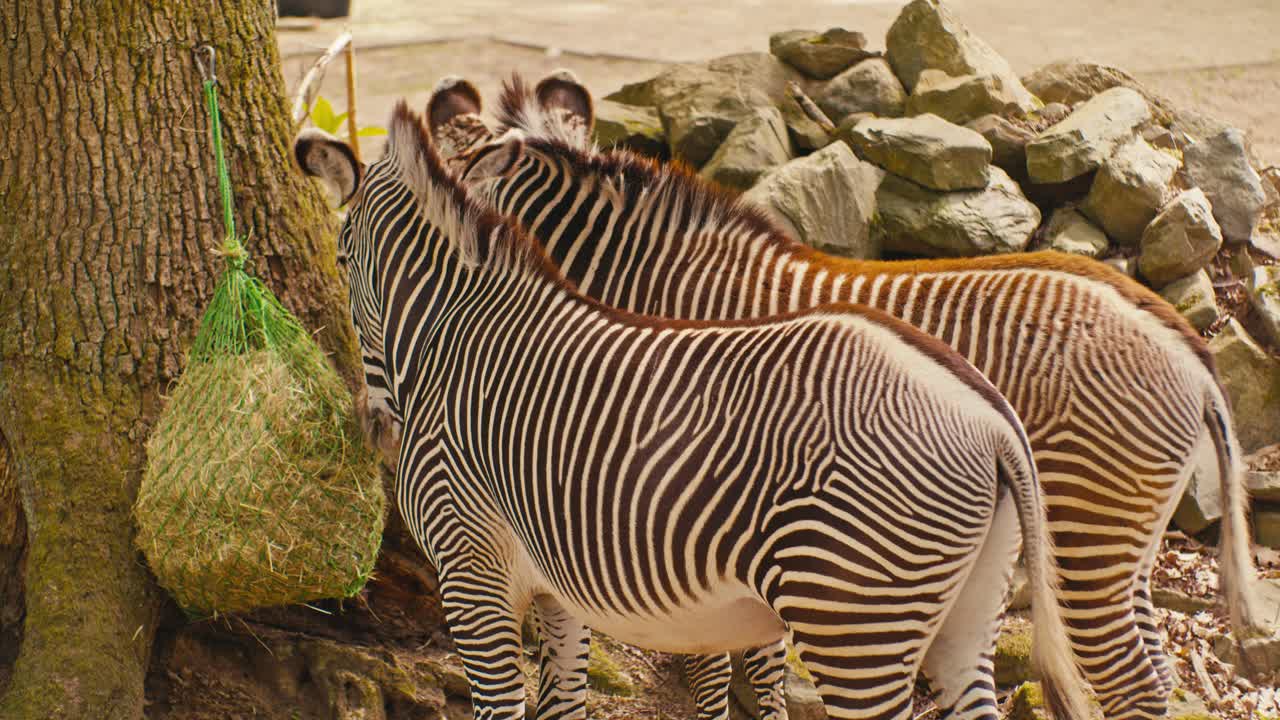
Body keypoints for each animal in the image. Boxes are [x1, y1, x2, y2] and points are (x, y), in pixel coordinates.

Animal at [293, 102, 1089, 720]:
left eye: (339, 259)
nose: (377, 429)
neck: (450, 332)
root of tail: (991, 419)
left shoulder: (471, 573)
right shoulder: (556, 592)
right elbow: (562, 703)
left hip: (851, 614)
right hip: (965, 614)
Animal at [428, 72, 1264, 720]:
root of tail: (1189, 347)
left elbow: (718, 667)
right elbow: (752, 662)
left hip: (1087, 532)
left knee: (1131, 681)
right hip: (1128, 543)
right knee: (1153, 669)